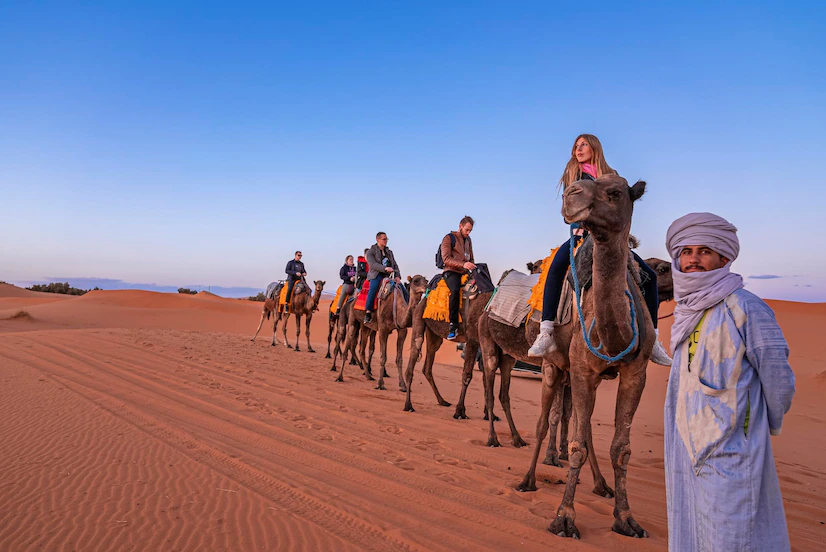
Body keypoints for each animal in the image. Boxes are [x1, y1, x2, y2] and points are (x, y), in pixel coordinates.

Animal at [516, 176, 656, 540]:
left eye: (616, 192)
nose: (572, 195)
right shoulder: (581, 369)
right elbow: (576, 443)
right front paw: (564, 518)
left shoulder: (635, 373)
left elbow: (620, 448)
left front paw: (626, 519)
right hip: (553, 367)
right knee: (542, 423)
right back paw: (528, 480)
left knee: (584, 426)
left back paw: (601, 486)